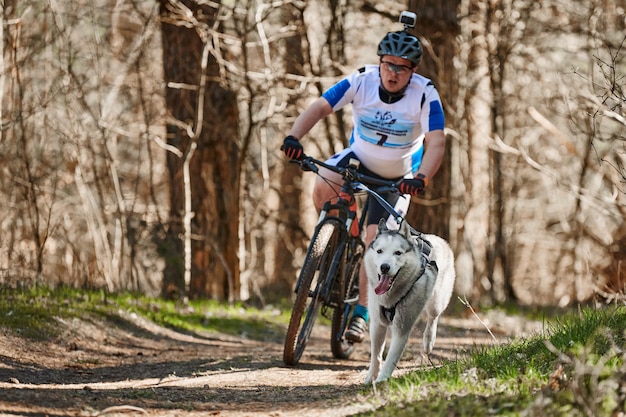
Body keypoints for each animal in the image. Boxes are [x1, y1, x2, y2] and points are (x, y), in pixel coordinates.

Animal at [360, 219, 454, 382]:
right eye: (379, 251)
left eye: (398, 253)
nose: (384, 267)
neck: (390, 296)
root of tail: (441, 241)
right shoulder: (377, 324)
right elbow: (376, 356)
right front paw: (370, 378)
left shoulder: (401, 329)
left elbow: (390, 359)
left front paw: (381, 380)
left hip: (436, 302)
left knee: (433, 318)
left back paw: (428, 340)